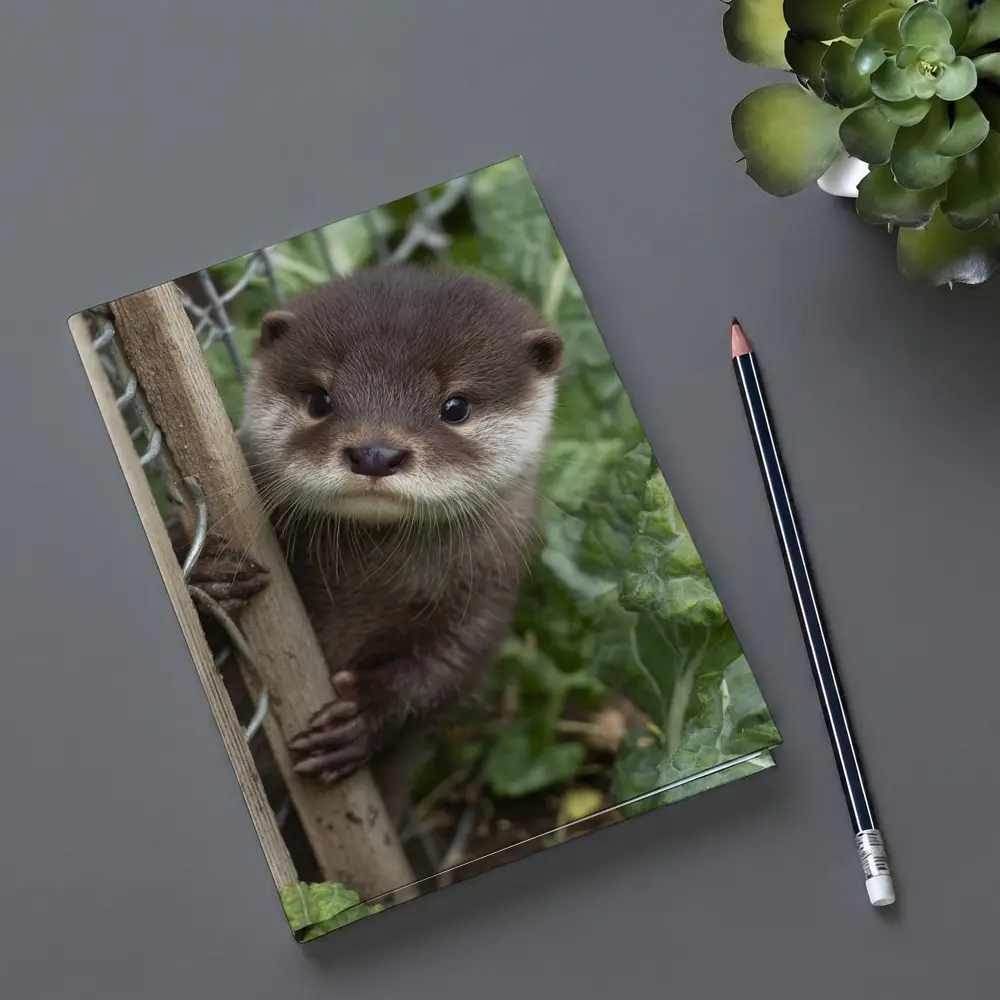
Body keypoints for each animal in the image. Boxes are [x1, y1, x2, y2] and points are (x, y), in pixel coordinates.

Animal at [236, 263, 563, 820]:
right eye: (320, 399)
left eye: (455, 406)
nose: (374, 453)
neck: (367, 590)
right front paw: (215, 570)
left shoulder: (484, 599)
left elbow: (445, 674)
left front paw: (362, 718)